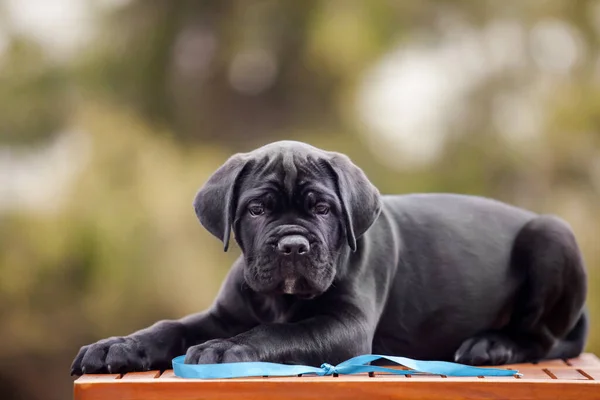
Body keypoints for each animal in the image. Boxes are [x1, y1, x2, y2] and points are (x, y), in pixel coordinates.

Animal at [69, 141, 584, 376]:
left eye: (322, 209)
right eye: (256, 210)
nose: (293, 246)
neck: (279, 299)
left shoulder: (347, 327)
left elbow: (282, 332)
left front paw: (225, 350)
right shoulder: (223, 315)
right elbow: (170, 326)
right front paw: (117, 346)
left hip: (552, 234)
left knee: (542, 338)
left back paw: (492, 345)